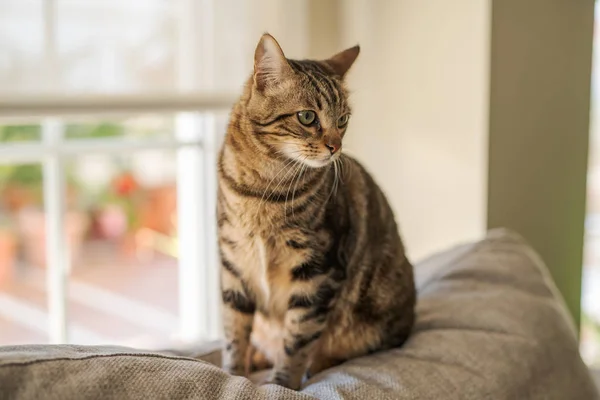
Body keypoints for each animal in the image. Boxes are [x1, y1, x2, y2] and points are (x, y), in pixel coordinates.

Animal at [217, 32, 418, 390]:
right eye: (307, 117)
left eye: (343, 120)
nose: (335, 146)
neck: (263, 191)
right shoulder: (234, 265)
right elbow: (234, 334)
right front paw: (234, 374)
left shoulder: (318, 271)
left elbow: (296, 341)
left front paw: (281, 384)